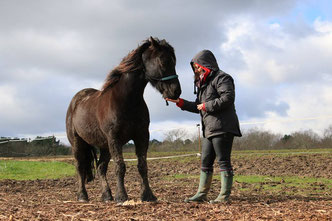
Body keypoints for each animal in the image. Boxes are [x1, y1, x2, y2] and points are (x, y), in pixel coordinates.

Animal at [65, 37, 182, 203]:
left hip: (104, 146)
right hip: (78, 143)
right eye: (163, 61)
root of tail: (76, 100)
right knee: (80, 167)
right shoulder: (115, 138)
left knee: (101, 168)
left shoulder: (142, 136)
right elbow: (120, 166)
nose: (176, 91)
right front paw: (121, 196)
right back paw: (82, 196)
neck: (127, 101)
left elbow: (142, 165)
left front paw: (148, 195)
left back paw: (107, 195)